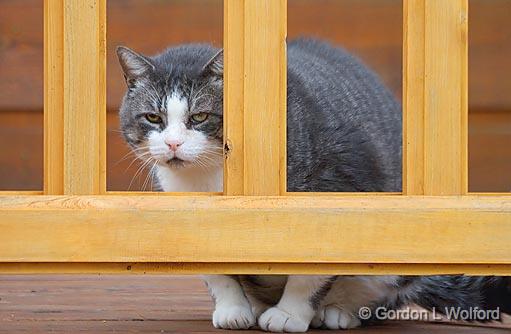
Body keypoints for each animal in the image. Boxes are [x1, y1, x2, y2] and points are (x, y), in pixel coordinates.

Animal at [118, 39, 511, 332]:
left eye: (199, 116)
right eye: (153, 117)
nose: (172, 144)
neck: (209, 178)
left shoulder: (337, 191)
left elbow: (311, 269)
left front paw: (289, 314)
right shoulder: (183, 217)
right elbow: (215, 271)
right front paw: (232, 309)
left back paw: (337, 311)